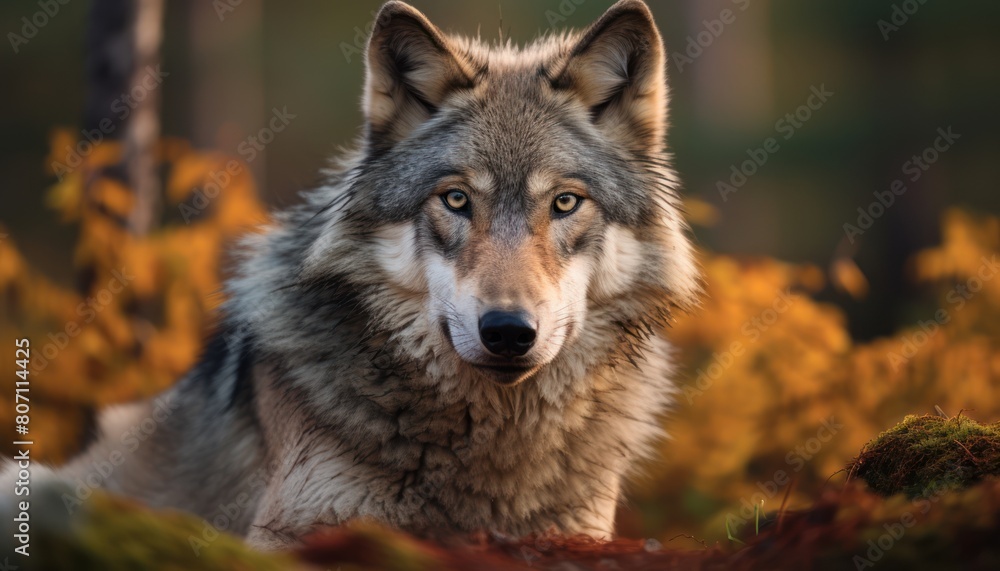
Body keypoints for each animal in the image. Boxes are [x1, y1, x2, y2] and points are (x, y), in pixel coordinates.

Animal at [13, 0, 704, 552]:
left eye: (564, 203)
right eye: (456, 200)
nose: (508, 330)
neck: (495, 446)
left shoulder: (581, 532)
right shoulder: (292, 529)